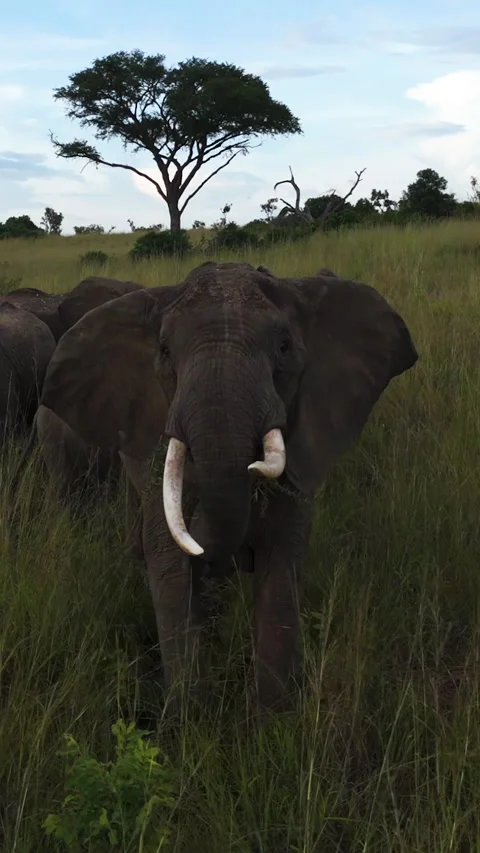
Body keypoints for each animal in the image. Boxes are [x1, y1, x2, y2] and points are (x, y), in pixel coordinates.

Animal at [40, 261, 418, 714]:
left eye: (285, 346)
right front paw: (189, 719)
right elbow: (169, 563)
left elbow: (282, 563)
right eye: (164, 351)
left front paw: (272, 719)